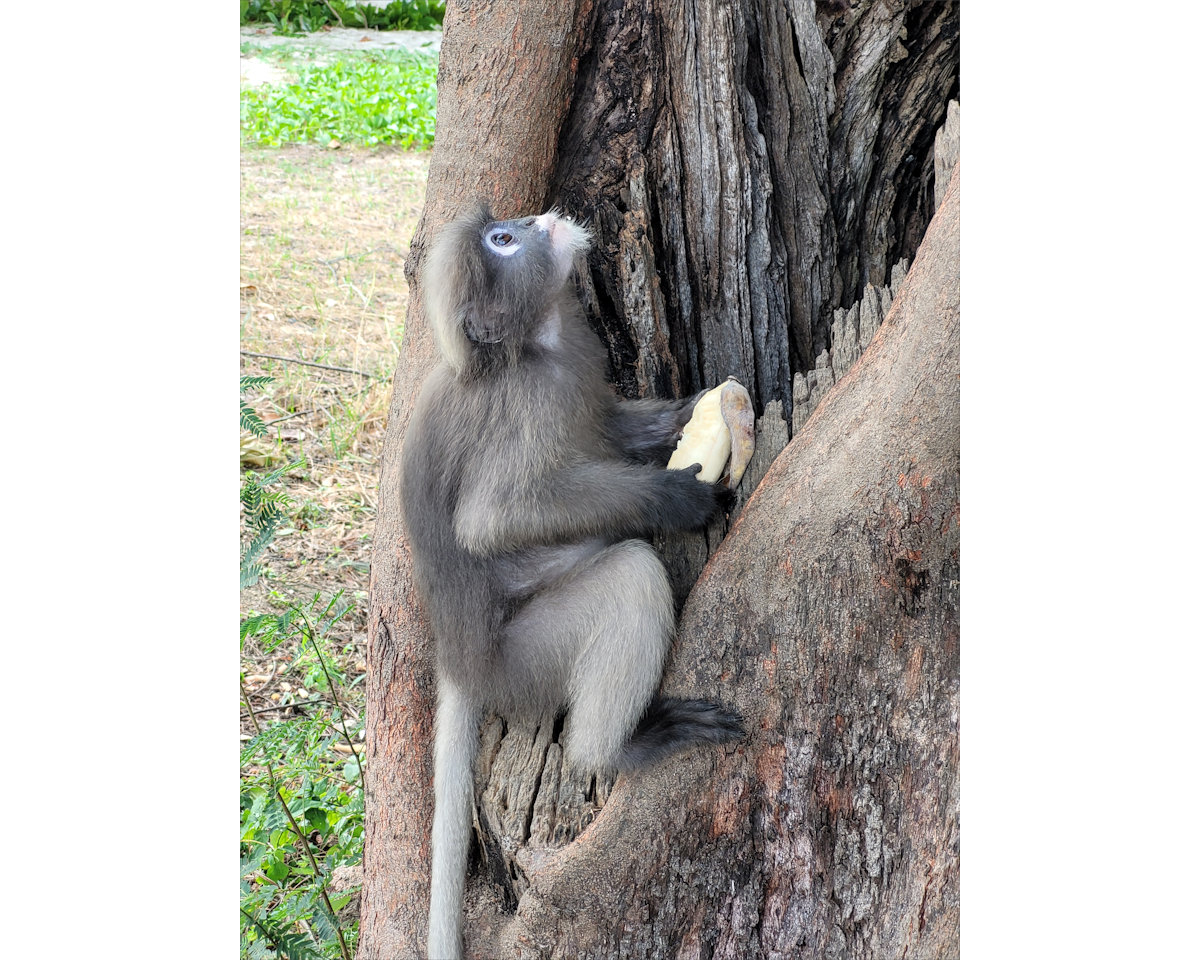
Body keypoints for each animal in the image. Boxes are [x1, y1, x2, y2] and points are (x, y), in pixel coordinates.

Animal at [399, 205, 743, 960]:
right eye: (502, 242)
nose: (531, 218)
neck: (537, 343)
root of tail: (460, 663)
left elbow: (608, 426)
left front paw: (695, 411)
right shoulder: (527, 400)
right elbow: (493, 521)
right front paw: (674, 498)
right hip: (525, 664)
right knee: (632, 575)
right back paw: (617, 748)